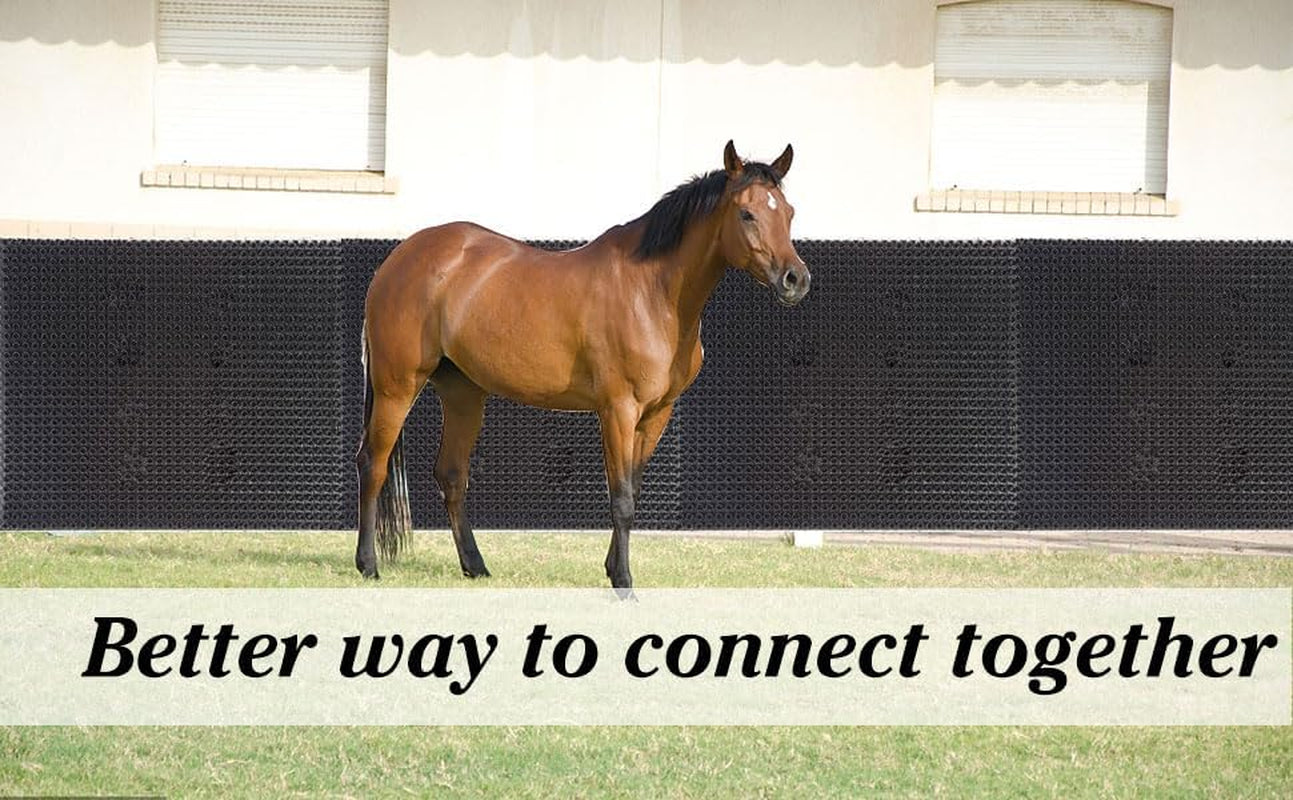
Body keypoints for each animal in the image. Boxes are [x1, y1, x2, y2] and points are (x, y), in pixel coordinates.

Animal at [356, 140, 810, 591]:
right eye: (747, 213)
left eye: (788, 212)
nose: (796, 279)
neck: (653, 293)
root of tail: (397, 260)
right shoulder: (617, 410)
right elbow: (621, 498)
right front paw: (623, 581)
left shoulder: (656, 415)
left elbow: (633, 490)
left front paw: (613, 569)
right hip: (397, 386)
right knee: (373, 464)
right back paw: (368, 565)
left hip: (463, 391)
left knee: (451, 473)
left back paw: (475, 565)